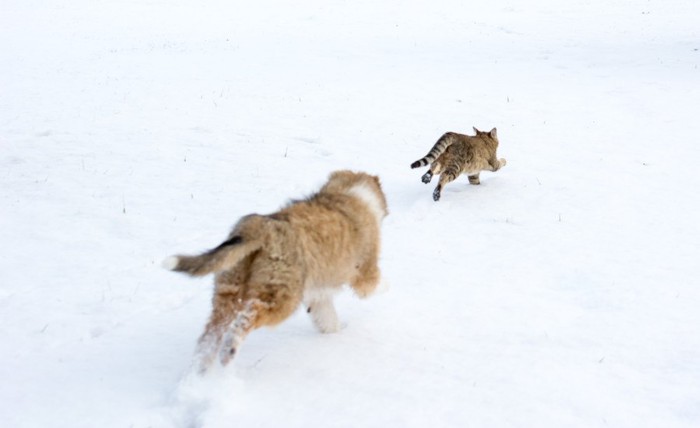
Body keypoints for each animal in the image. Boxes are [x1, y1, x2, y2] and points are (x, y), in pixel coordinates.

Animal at [164, 171, 388, 372]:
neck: (347, 192)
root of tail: (260, 227)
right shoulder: (365, 272)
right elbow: (373, 285)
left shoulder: (319, 295)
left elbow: (326, 316)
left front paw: (333, 332)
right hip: (281, 294)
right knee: (249, 316)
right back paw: (229, 350)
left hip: (229, 288)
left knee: (212, 333)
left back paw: (200, 372)